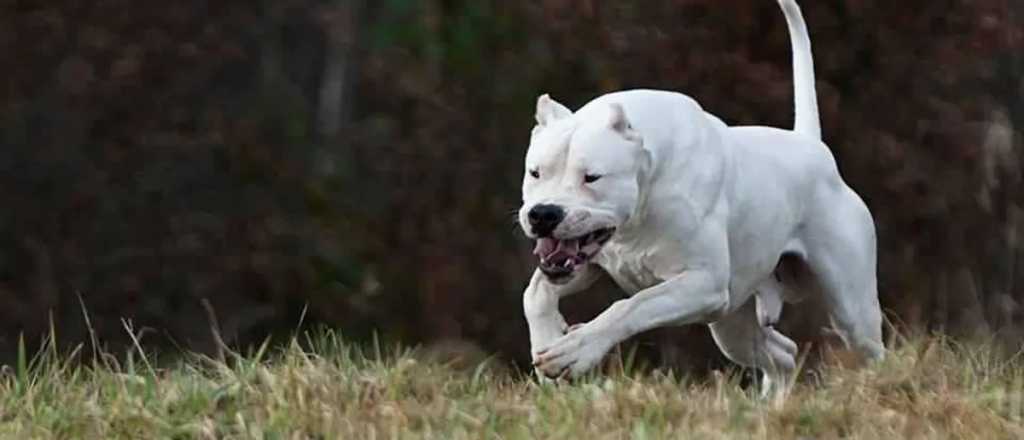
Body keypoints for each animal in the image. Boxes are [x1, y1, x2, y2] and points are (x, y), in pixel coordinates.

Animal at [516, 0, 884, 394]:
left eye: (592, 177)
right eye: (535, 172)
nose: (544, 214)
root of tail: (812, 147)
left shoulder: (701, 284)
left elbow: (632, 305)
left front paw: (577, 350)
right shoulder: (588, 265)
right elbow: (535, 293)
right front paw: (548, 341)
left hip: (849, 308)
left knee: (866, 347)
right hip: (731, 323)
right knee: (783, 353)